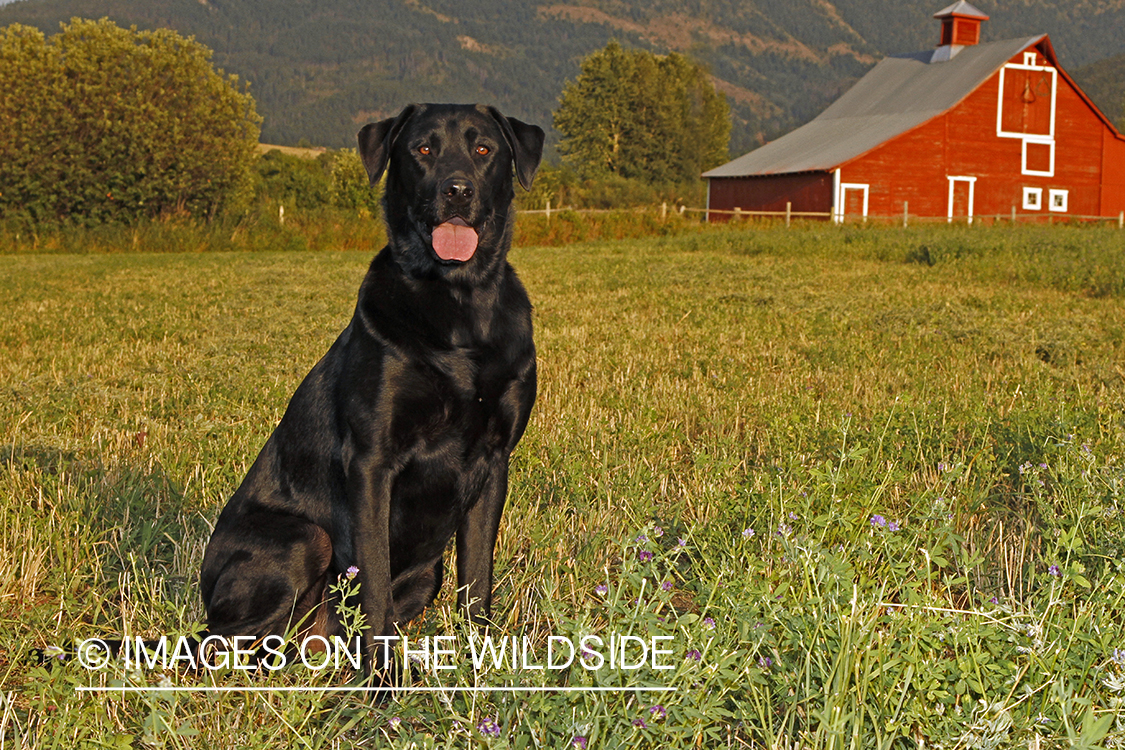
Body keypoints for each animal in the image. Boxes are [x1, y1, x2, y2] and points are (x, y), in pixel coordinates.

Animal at [201, 102, 544, 670]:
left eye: (483, 149)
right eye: (422, 148)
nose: (457, 190)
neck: (459, 304)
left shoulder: (494, 460)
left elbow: (478, 581)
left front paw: (481, 663)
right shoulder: (372, 462)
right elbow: (376, 585)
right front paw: (383, 683)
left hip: (425, 573)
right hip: (303, 539)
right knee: (218, 645)